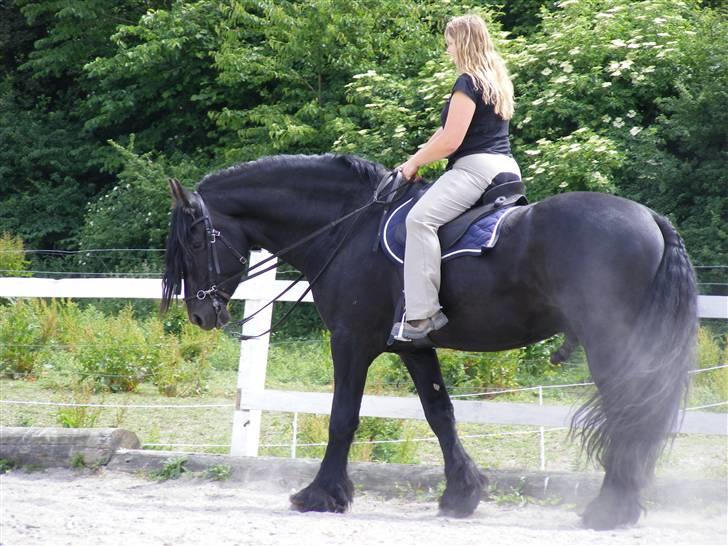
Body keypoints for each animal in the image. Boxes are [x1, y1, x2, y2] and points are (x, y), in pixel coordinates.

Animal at [162, 152, 696, 528]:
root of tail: (652, 219)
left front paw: (321, 494)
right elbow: (441, 415)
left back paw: (611, 509)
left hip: (611, 346)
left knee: (627, 414)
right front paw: (462, 494)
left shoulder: (351, 341)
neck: (350, 227)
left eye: (195, 240)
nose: (201, 313)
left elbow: (343, 418)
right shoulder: (414, 347)